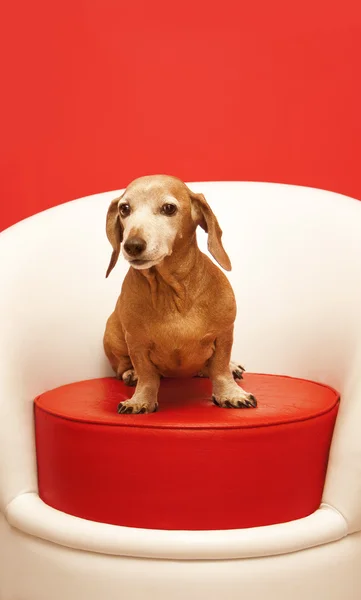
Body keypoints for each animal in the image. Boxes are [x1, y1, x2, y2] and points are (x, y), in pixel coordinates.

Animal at [103, 176, 256, 414]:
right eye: (124, 208)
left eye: (169, 208)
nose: (132, 246)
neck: (171, 293)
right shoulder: (136, 344)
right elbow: (147, 376)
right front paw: (140, 399)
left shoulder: (224, 334)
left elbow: (220, 369)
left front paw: (230, 394)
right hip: (112, 334)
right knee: (122, 367)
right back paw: (131, 373)